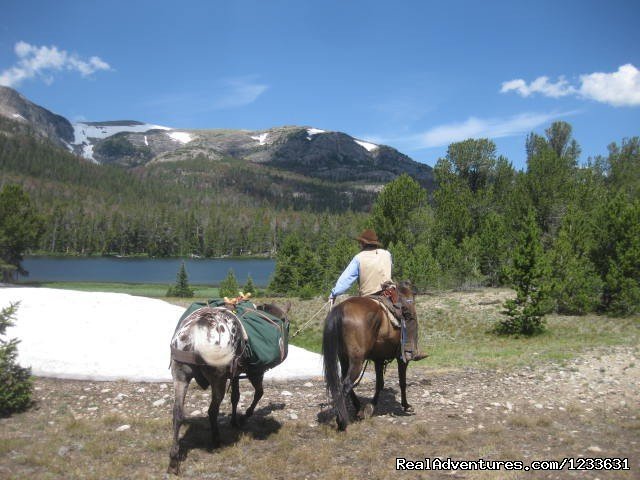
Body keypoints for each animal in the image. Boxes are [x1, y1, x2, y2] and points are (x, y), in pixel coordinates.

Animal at [320, 280, 420, 430]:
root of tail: (340, 309)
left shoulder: (379, 359)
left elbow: (379, 383)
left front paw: (371, 406)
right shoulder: (401, 359)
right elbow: (402, 382)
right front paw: (406, 405)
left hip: (344, 358)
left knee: (343, 382)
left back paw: (358, 409)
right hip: (357, 361)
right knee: (346, 385)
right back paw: (342, 421)